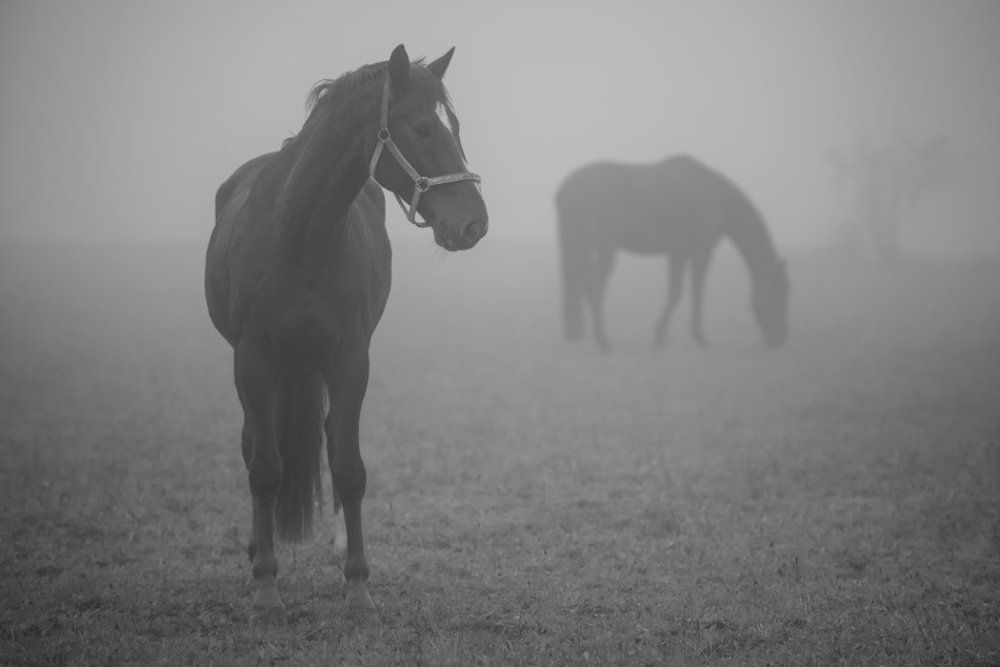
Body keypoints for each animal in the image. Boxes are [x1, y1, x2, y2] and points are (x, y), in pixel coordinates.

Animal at [204, 45, 487, 627]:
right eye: (422, 128)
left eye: (454, 127)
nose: (475, 224)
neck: (301, 235)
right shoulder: (253, 360)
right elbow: (265, 467)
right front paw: (266, 588)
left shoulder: (351, 359)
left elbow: (349, 467)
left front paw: (358, 586)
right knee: (253, 448)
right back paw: (255, 553)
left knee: (333, 437)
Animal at [556, 155, 788, 352]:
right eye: (780, 294)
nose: (779, 339)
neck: (716, 198)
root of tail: (566, 189)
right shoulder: (701, 251)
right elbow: (695, 292)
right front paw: (698, 336)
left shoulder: (678, 252)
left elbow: (675, 291)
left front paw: (661, 335)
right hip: (604, 248)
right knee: (595, 286)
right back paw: (603, 341)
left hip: (581, 246)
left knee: (583, 285)